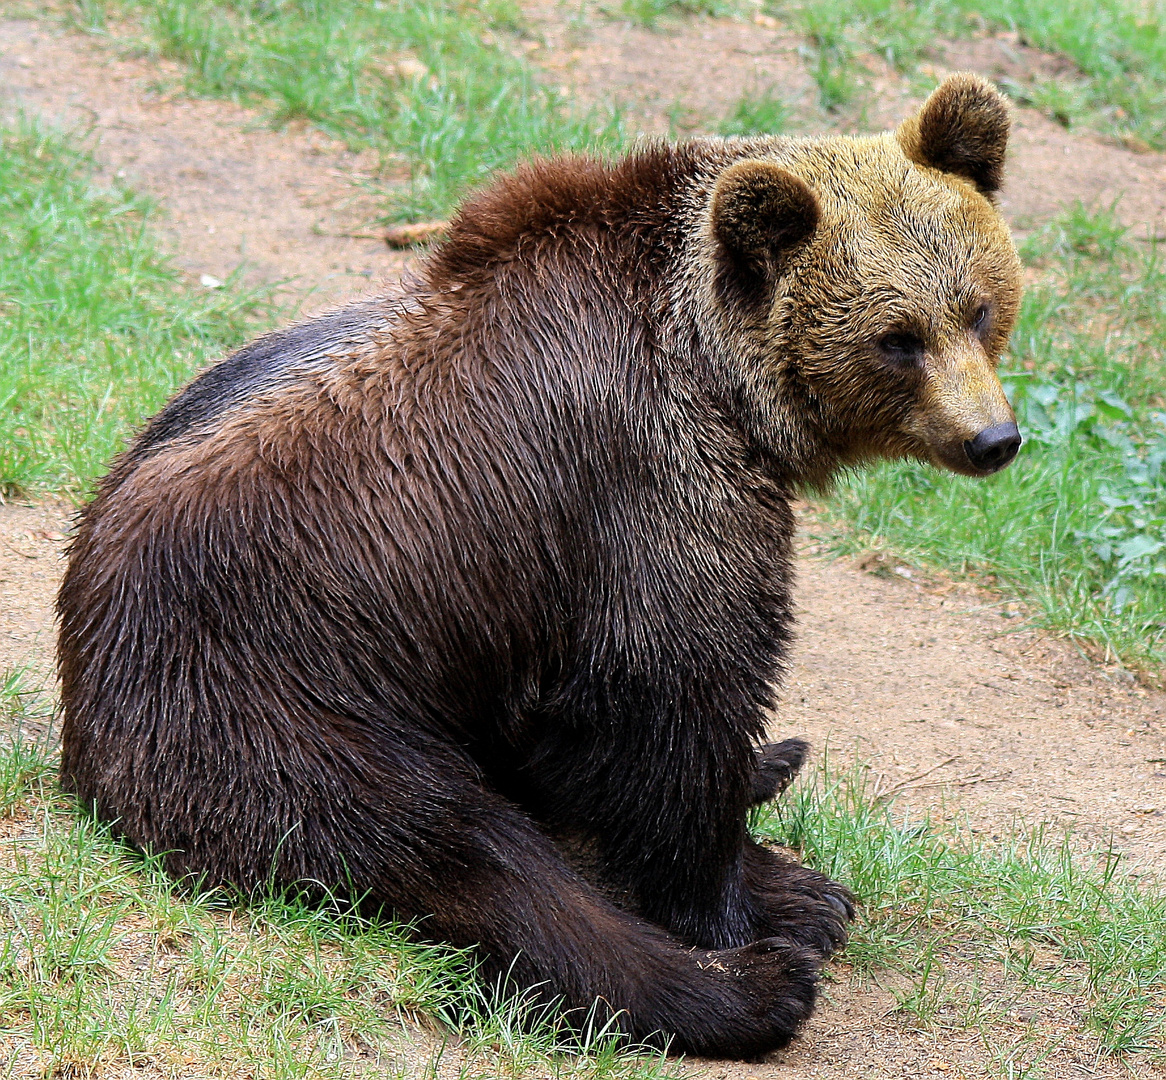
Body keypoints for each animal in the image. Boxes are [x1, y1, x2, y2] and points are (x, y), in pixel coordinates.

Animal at [56, 75, 1021, 1063]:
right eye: (897, 337)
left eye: (979, 307)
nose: (994, 438)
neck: (721, 378)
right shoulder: (651, 485)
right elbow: (678, 694)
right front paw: (766, 897)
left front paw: (768, 796)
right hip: (278, 688)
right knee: (468, 856)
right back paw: (751, 986)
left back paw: (773, 771)